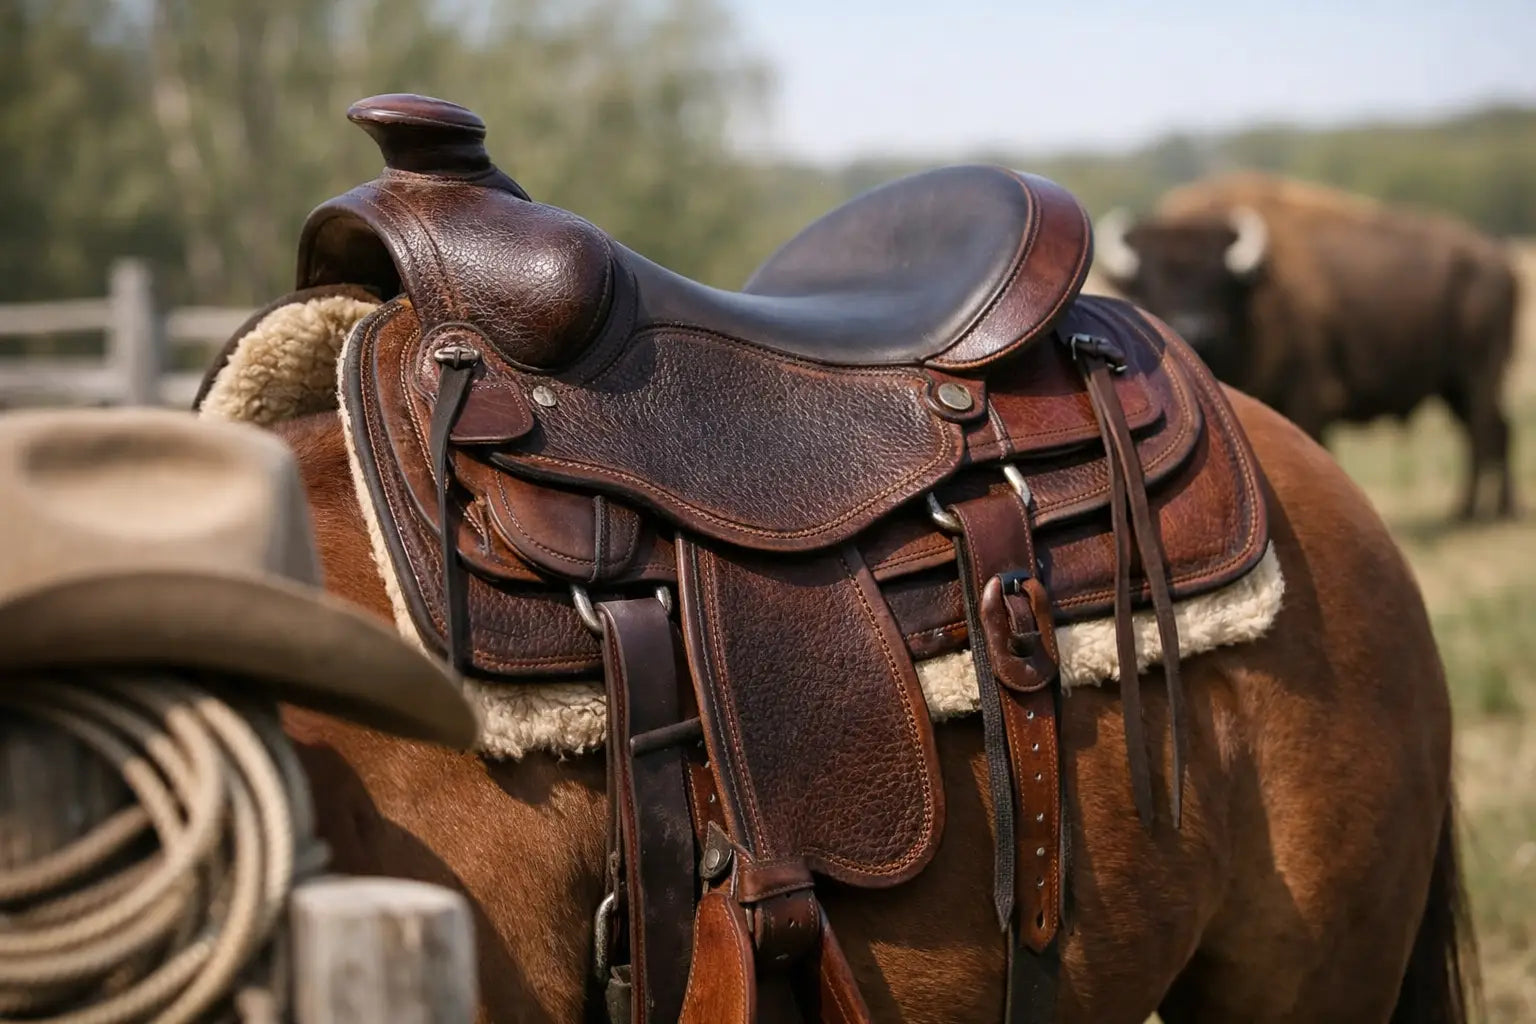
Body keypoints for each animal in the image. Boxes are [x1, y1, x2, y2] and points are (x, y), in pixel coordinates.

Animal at [1094, 172, 1519, 520]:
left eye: (1218, 281)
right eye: (1149, 283)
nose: (1195, 329)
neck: (1261, 283)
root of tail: (1499, 259)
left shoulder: (1308, 396)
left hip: (1479, 374)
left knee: (1485, 429)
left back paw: (1480, 513)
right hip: (1456, 385)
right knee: (1491, 429)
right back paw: (1481, 510)